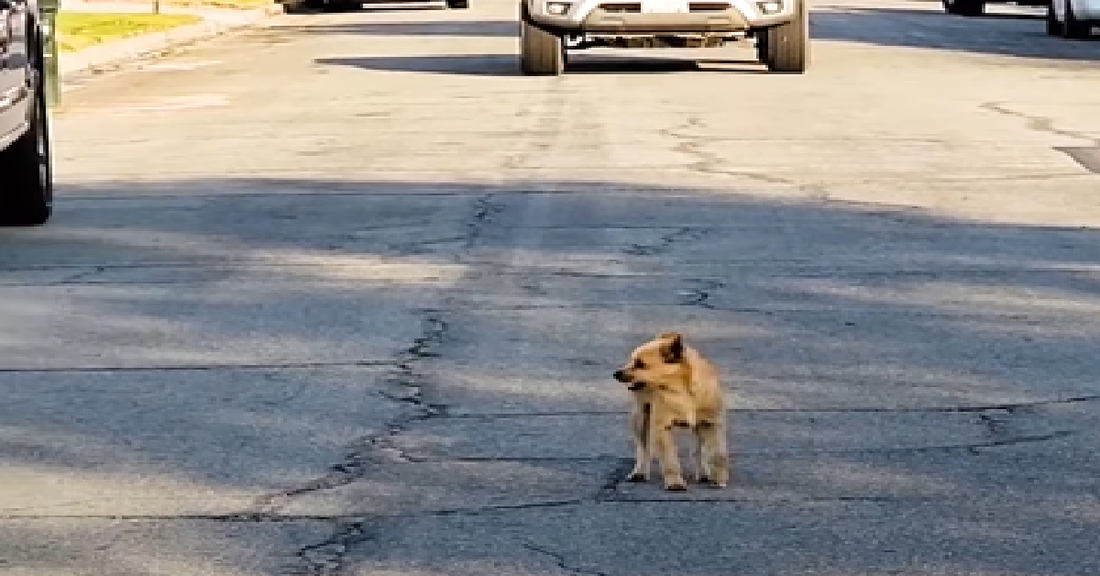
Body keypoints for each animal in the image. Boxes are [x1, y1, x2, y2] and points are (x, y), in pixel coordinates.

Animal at [611, 331, 730, 490]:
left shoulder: (712, 424)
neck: (680, 390)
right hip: (640, 418)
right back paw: (639, 472)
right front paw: (675, 483)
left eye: (640, 364)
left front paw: (718, 478)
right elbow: (670, 460)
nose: (615, 373)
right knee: (643, 448)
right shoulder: (662, 428)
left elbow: (718, 454)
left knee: (699, 450)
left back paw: (704, 473)